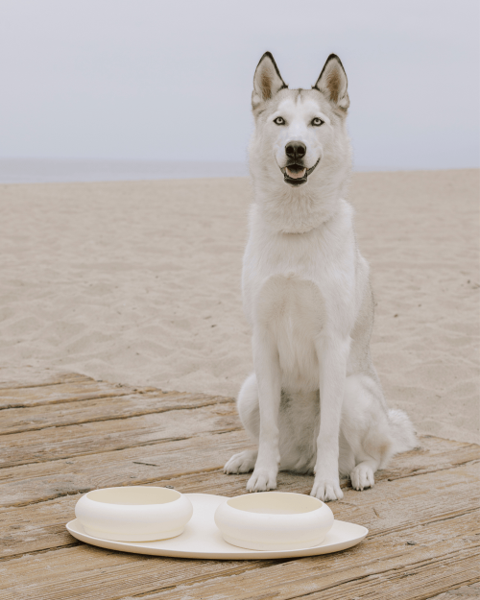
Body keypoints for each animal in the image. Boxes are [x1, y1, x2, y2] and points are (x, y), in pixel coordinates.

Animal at [225, 52, 416, 502]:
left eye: (316, 122)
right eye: (280, 121)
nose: (295, 148)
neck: (297, 228)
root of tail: (302, 460)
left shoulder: (333, 342)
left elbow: (328, 430)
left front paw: (327, 484)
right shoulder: (262, 339)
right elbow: (269, 432)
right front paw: (262, 475)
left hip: (355, 392)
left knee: (372, 455)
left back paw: (355, 473)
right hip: (249, 389)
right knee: (280, 446)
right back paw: (251, 460)